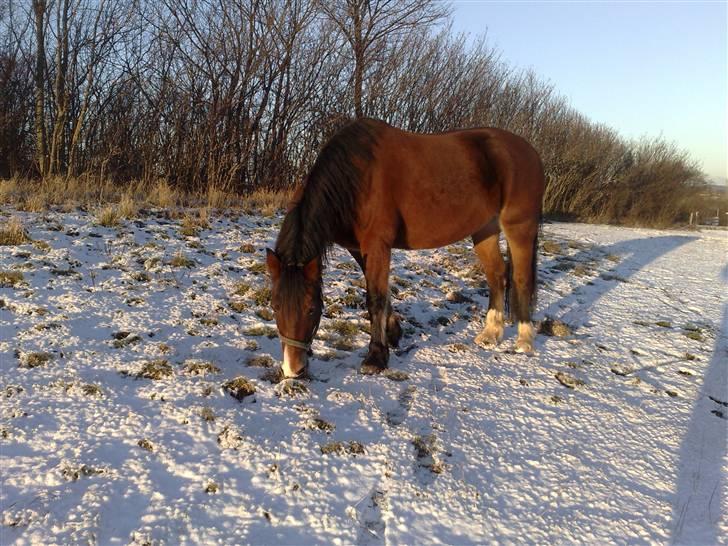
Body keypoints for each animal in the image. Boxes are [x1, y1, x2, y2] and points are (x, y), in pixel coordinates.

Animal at [264, 117, 544, 376]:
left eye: (311, 308)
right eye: (275, 306)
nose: (293, 369)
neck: (357, 178)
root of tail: (528, 150)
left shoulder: (378, 244)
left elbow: (375, 297)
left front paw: (376, 357)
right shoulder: (359, 248)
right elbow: (380, 291)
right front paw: (394, 333)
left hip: (519, 227)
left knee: (521, 278)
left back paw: (524, 341)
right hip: (484, 229)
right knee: (497, 275)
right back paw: (491, 334)